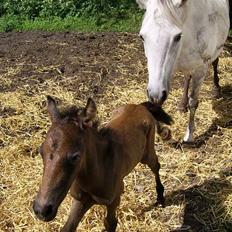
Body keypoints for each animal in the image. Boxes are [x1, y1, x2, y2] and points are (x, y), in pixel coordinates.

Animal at [33, 96, 172, 232]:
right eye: (41, 151)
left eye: (76, 157)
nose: (42, 210)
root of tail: (140, 106)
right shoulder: (80, 200)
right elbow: (68, 227)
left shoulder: (113, 201)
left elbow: (110, 223)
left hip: (146, 154)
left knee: (156, 166)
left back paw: (160, 197)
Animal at [137, 0, 229, 141]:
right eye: (142, 37)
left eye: (177, 36)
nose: (155, 95)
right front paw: (162, 132)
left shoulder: (200, 70)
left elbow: (193, 102)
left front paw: (189, 135)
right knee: (187, 76)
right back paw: (182, 104)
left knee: (215, 62)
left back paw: (216, 88)